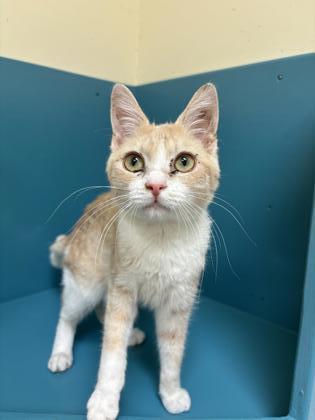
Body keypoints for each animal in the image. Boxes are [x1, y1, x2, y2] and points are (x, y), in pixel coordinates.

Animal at [48, 83, 221, 420]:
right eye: (133, 162)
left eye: (184, 162)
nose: (154, 186)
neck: (161, 239)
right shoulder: (122, 287)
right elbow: (111, 354)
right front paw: (104, 400)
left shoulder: (178, 302)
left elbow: (172, 352)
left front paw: (170, 393)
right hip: (86, 284)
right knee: (69, 315)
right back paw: (61, 352)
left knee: (102, 310)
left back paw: (132, 335)